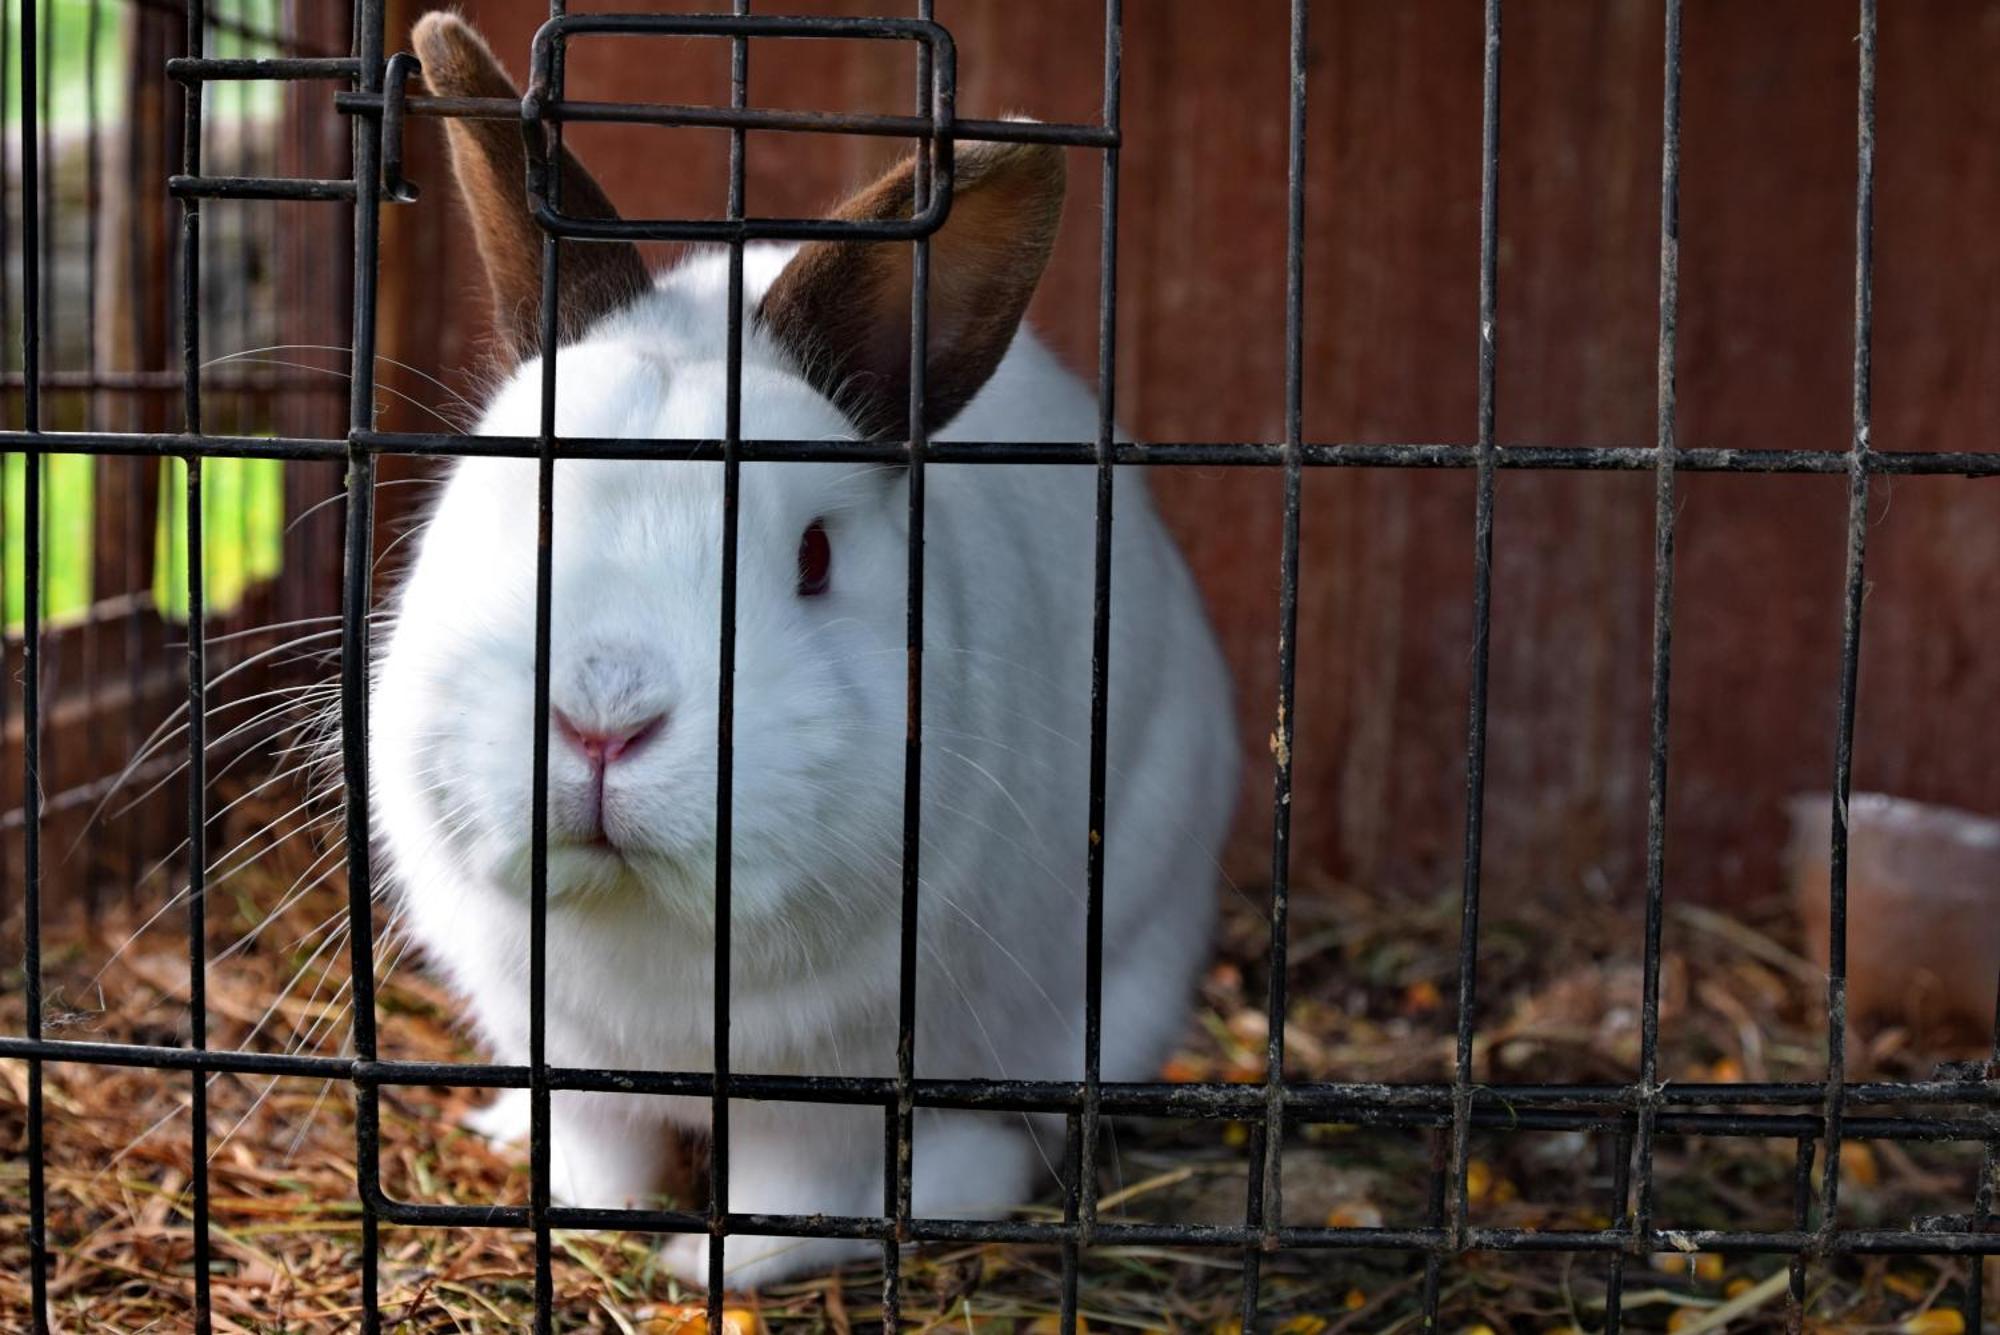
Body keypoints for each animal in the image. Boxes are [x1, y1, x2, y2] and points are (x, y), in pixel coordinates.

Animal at [372, 7, 1232, 1279]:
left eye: (814, 556)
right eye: (519, 503)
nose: (603, 716)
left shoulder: (828, 1093)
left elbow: (795, 1195)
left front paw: (711, 1270)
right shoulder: (565, 1053)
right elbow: (599, 1148)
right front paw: (590, 1209)